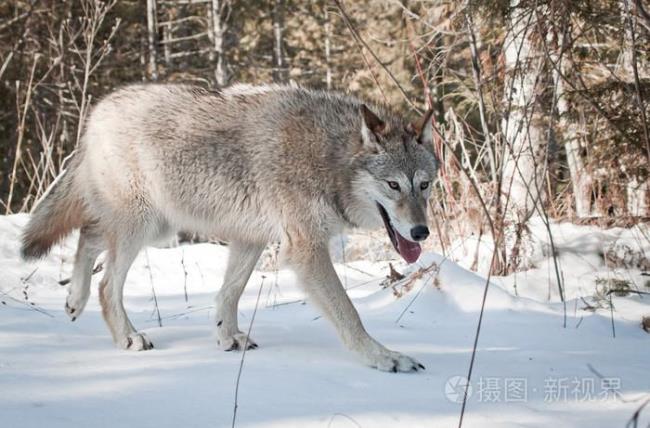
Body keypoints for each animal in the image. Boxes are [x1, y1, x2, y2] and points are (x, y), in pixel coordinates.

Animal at [21, 83, 436, 372]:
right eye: (393, 185)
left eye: (425, 185)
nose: (421, 233)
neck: (328, 157)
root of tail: (97, 111)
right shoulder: (306, 250)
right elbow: (349, 314)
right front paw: (385, 358)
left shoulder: (250, 237)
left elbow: (229, 293)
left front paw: (227, 337)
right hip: (143, 227)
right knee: (107, 285)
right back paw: (128, 337)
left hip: (155, 227)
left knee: (89, 236)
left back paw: (74, 301)